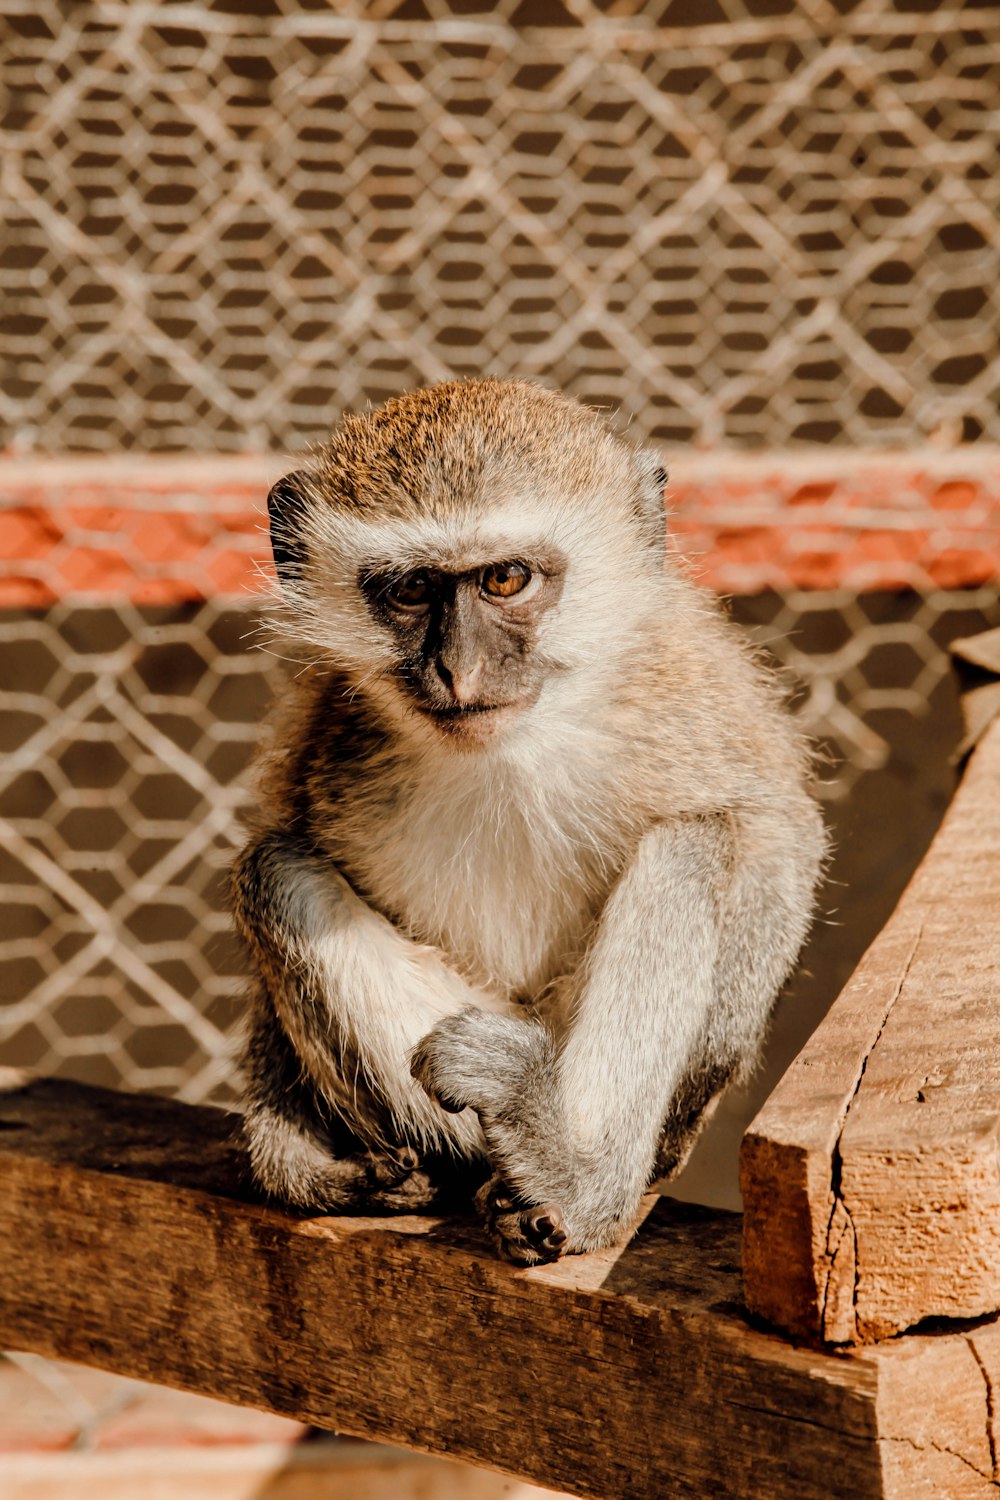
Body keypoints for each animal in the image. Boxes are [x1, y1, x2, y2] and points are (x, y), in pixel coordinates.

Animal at [230, 378, 827, 1266]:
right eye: (412, 590)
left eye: (506, 580)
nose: (459, 669)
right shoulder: (327, 740)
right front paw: (292, 1157)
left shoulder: (683, 693)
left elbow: (777, 833)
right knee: (273, 872)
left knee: (694, 845)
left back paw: (573, 1168)